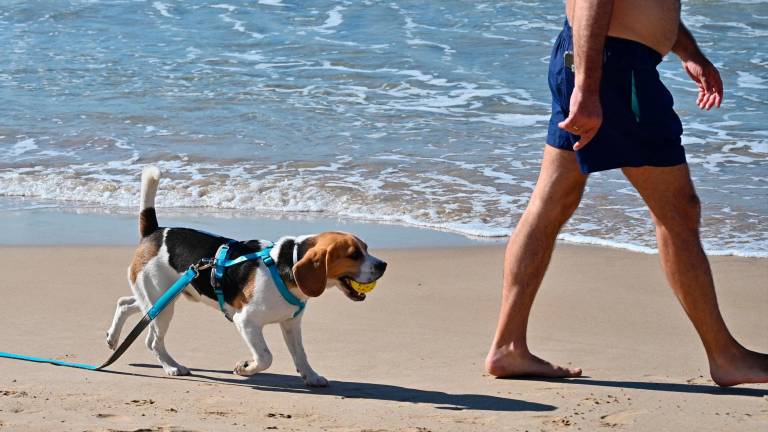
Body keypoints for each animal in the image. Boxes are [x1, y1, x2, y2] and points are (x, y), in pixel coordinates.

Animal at [105, 167, 388, 386]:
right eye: (353, 254)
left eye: (366, 248)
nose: (383, 265)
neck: (286, 265)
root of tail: (155, 230)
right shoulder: (246, 322)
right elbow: (265, 357)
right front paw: (245, 368)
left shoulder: (291, 324)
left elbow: (301, 355)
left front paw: (311, 376)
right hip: (161, 303)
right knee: (152, 340)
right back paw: (172, 366)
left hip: (160, 297)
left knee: (125, 303)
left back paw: (113, 338)